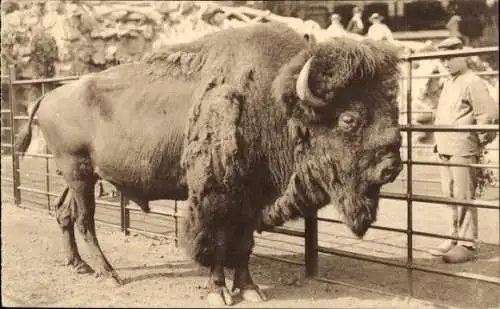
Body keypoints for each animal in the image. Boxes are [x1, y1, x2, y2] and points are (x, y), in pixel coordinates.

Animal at [16, 22, 402, 304]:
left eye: (392, 108)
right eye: (349, 119)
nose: (392, 167)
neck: (276, 102)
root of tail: (49, 95)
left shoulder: (251, 199)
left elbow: (243, 245)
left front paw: (251, 289)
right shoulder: (215, 197)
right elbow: (215, 242)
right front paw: (220, 292)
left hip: (75, 176)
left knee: (63, 213)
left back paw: (78, 265)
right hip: (79, 173)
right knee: (85, 221)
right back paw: (110, 275)